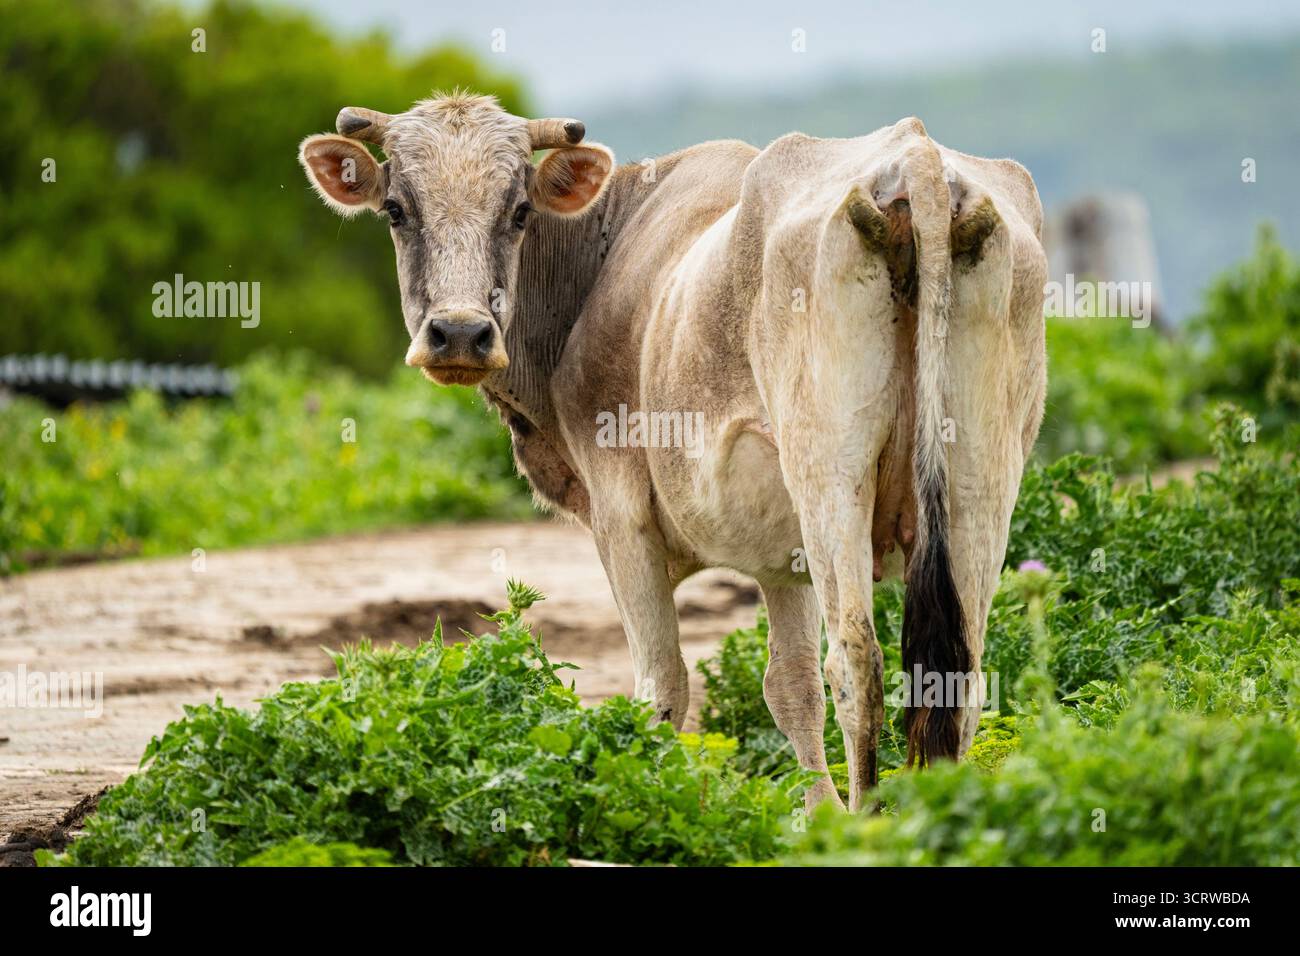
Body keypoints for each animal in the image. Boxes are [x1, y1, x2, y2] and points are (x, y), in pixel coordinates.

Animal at [298, 92, 1047, 812]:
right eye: (397, 210)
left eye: (518, 211)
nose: (459, 333)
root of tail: (915, 156)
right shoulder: (783, 557)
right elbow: (790, 686)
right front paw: (816, 816)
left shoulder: (620, 516)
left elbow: (661, 687)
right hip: (979, 483)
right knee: (957, 675)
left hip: (831, 477)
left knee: (856, 662)